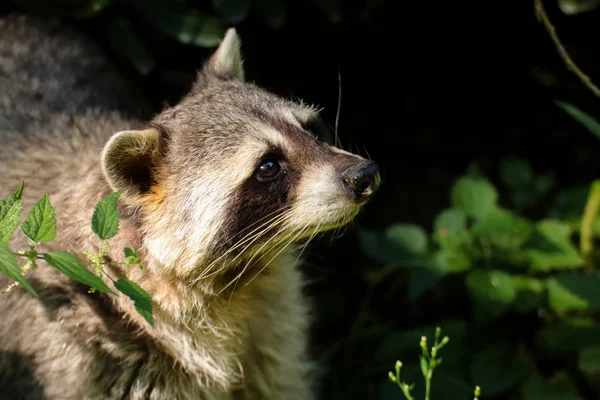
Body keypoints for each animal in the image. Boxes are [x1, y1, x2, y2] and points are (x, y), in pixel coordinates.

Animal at [0, 12, 382, 400]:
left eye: (312, 130)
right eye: (268, 166)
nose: (364, 174)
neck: (237, 282)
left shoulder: (271, 332)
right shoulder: (82, 344)